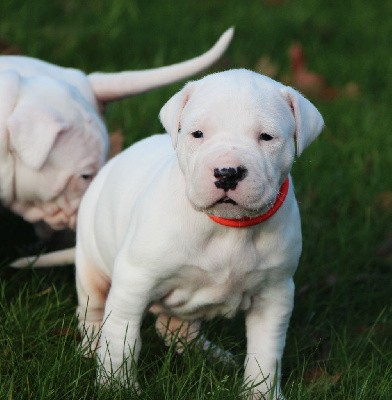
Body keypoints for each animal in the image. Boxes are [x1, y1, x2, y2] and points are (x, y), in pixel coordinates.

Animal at [75, 69, 324, 396]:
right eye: (197, 134)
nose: (227, 172)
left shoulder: (274, 294)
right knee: (93, 308)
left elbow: (266, 353)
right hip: (91, 264)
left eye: (266, 137)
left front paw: (261, 394)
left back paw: (211, 356)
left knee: (175, 329)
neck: (227, 227)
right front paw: (117, 387)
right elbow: (121, 340)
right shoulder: (134, 281)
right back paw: (90, 345)